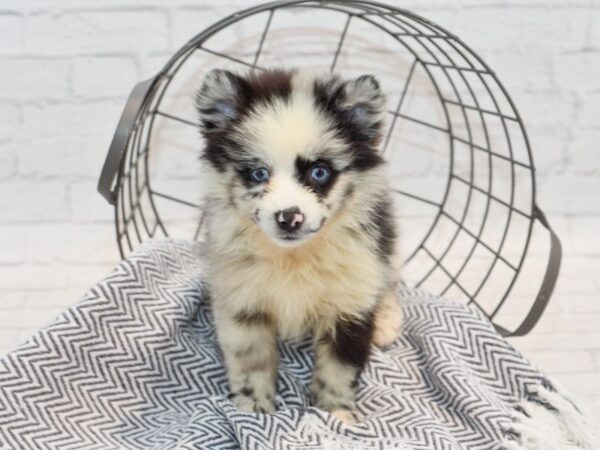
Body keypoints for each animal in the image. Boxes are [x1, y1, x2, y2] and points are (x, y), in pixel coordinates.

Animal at [197, 68, 404, 424]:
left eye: (319, 172)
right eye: (259, 173)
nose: (289, 217)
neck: (294, 257)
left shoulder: (350, 302)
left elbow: (337, 369)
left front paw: (337, 417)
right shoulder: (242, 301)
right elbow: (251, 361)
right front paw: (254, 410)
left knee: (389, 278)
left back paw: (386, 322)